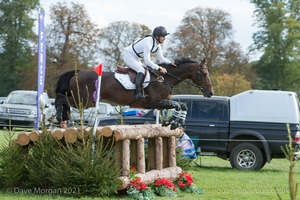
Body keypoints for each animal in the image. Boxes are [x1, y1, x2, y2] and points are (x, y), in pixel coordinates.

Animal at [54, 57, 213, 128]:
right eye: (204, 74)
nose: (210, 92)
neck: (164, 78)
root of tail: (77, 73)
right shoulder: (155, 102)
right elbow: (179, 105)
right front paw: (173, 122)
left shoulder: (162, 103)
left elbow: (182, 106)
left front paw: (173, 122)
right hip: (85, 101)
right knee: (60, 99)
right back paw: (60, 118)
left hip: (84, 101)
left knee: (63, 100)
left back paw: (64, 119)